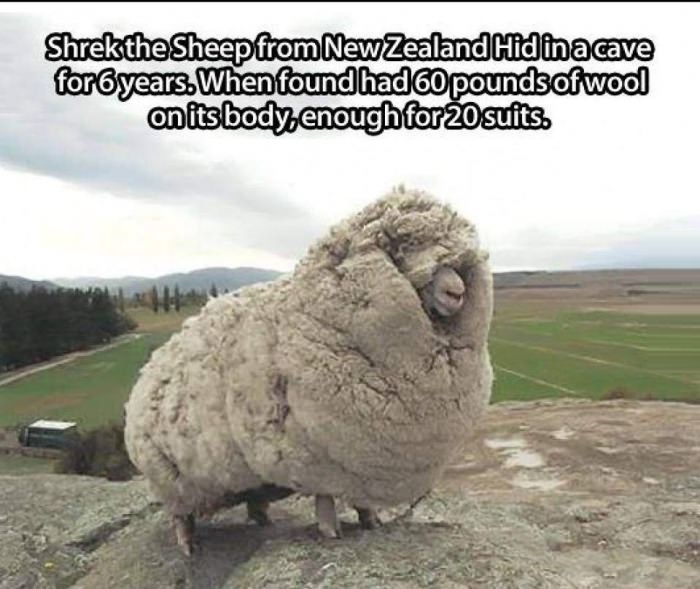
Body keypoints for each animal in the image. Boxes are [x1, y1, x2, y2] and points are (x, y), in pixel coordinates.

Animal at [124, 186, 493, 555]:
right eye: (402, 249)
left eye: (457, 264)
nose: (457, 292)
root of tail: (148, 367)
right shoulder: (317, 460)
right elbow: (325, 500)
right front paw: (330, 532)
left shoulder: (359, 468)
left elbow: (361, 502)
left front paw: (371, 522)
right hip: (171, 476)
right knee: (180, 514)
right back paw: (188, 544)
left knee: (251, 498)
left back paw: (262, 519)